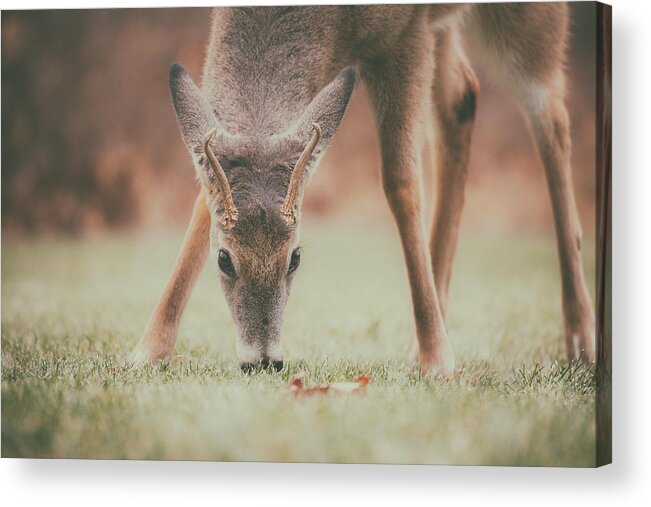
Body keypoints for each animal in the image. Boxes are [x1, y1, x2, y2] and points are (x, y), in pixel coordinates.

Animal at [131, 3, 596, 378]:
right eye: (224, 259)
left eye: (295, 258)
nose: (263, 361)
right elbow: (201, 199)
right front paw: (148, 350)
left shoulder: (408, 30)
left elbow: (401, 181)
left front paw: (437, 361)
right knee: (463, 97)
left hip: (521, 21)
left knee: (550, 114)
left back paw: (581, 339)